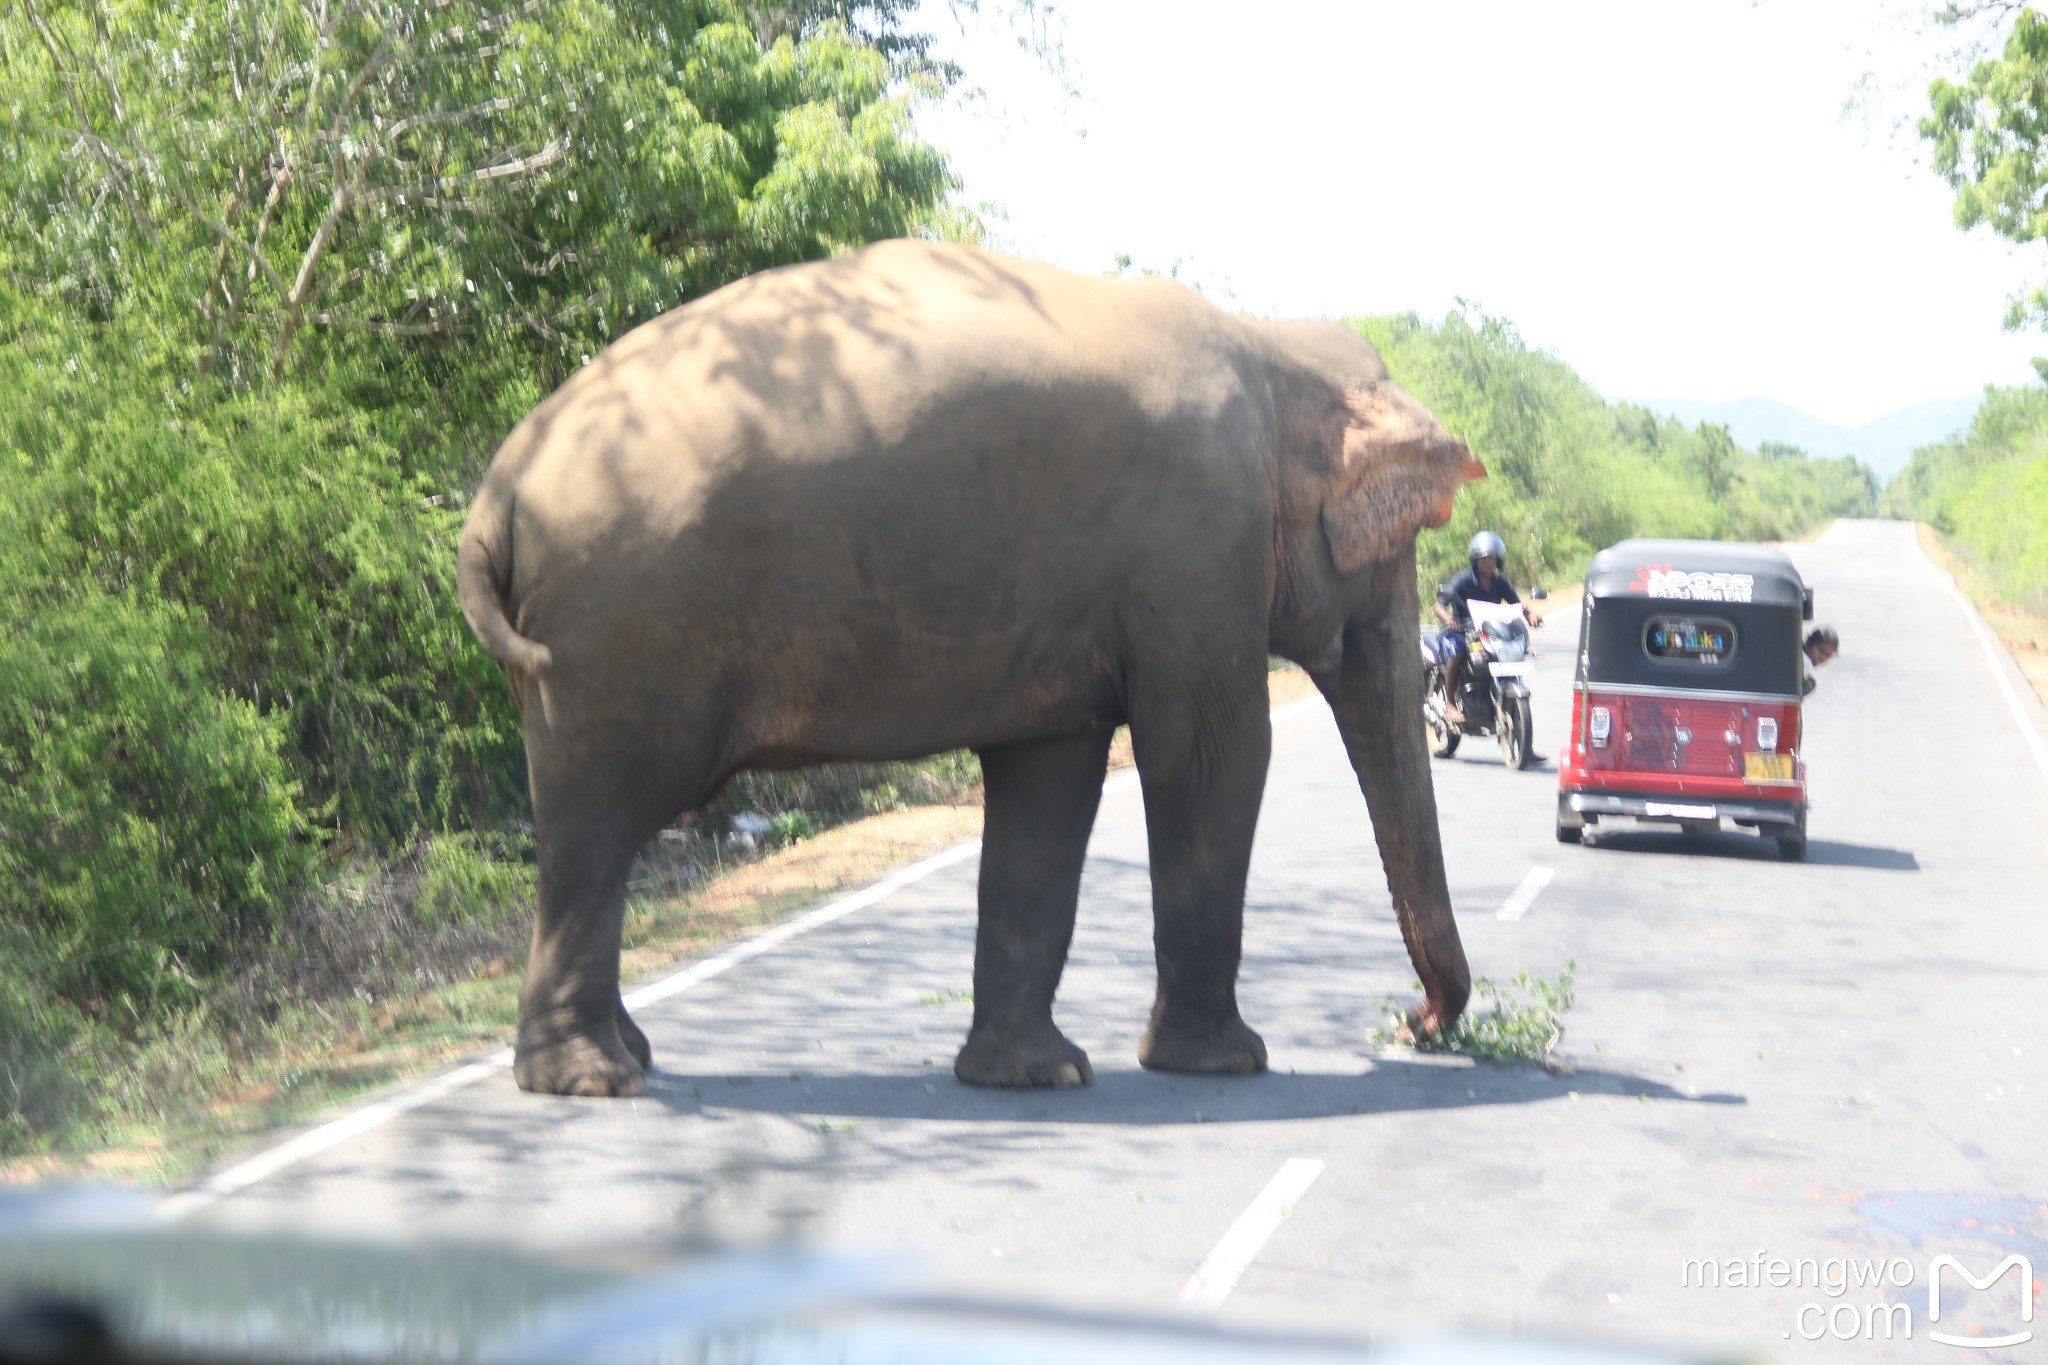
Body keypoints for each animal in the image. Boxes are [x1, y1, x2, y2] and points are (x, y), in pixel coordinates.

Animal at [460, 237, 1490, 1096]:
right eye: (1396, 552)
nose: (1414, 1021)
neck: (1278, 353)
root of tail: (496, 490)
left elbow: (1049, 784)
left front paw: (1036, 1075)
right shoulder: (1198, 544)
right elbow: (1208, 759)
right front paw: (1225, 1063)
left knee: (591, 828)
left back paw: (624, 1058)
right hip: (617, 632)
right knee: (597, 826)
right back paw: (592, 1079)